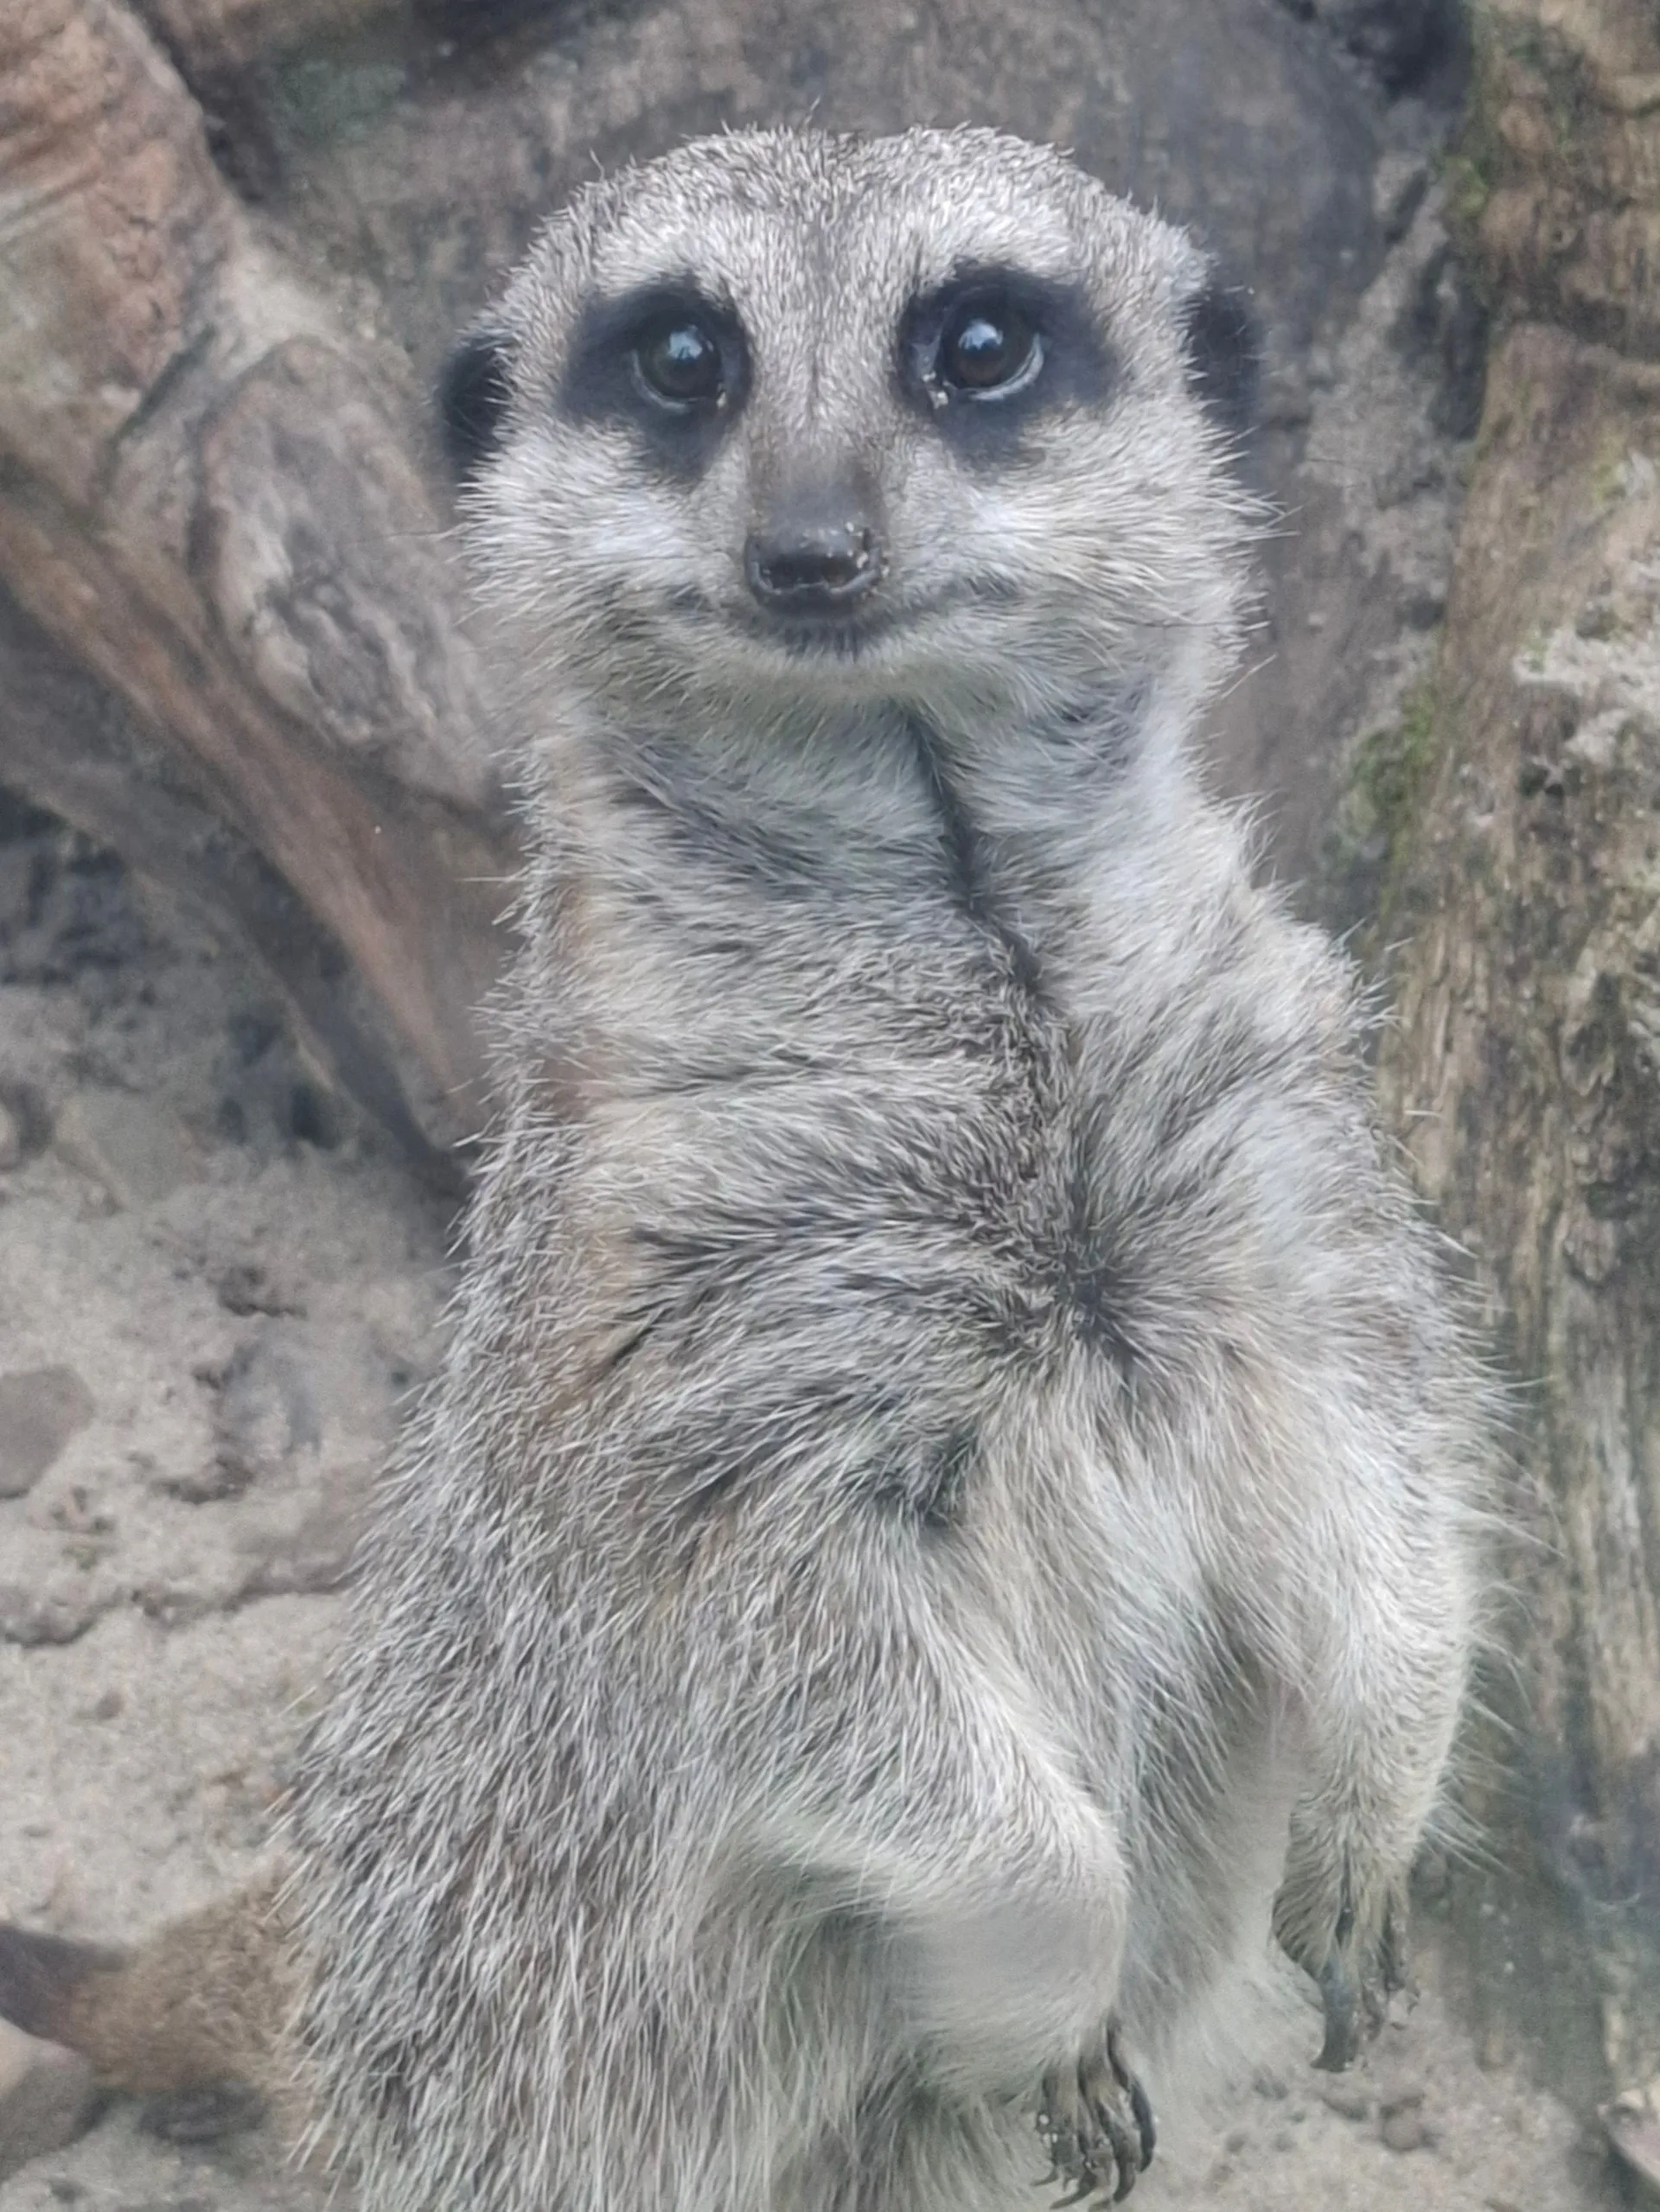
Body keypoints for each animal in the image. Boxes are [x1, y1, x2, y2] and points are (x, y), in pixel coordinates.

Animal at [0, 126, 1484, 2212]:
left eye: (979, 345)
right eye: (683, 360)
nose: (809, 544)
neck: (996, 962)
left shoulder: (1279, 1143)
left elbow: (1382, 1446)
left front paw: (1372, 1818)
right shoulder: (686, 1316)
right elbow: (784, 1647)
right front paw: (1067, 1970)